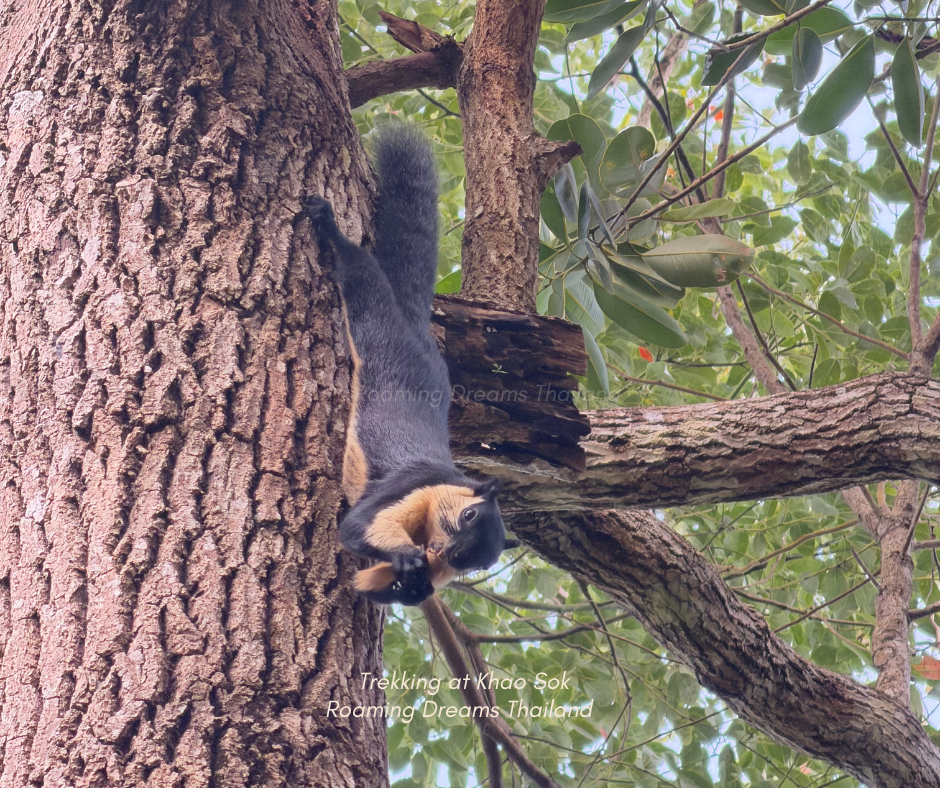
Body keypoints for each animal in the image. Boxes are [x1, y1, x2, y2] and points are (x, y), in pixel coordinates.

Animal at [306, 125, 515, 605]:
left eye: (474, 566)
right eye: (471, 516)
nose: (449, 553)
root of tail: (419, 330)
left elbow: (381, 587)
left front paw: (407, 582)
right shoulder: (408, 485)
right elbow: (358, 526)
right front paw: (401, 556)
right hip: (379, 327)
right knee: (362, 277)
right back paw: (329, 227)